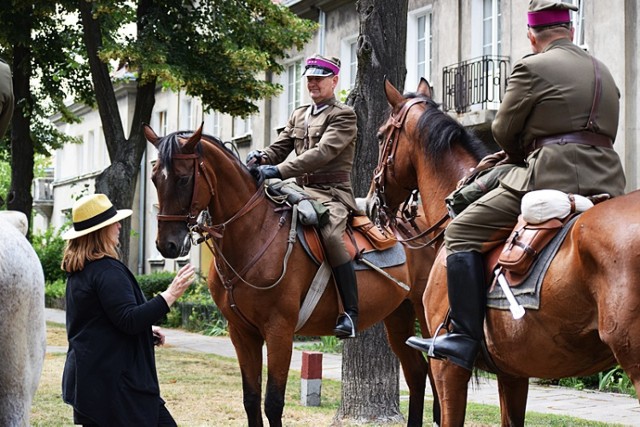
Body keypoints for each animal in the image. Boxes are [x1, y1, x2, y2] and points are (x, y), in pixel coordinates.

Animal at [144, 124, 436, 427]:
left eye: (183, 179)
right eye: (154, 179)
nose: (166, 245)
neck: (254, 232)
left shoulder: (279, 331)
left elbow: (273, 402)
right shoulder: (241, 332)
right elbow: (251, 400)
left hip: (425, 316)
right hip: (398, 315)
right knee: (417, 374)